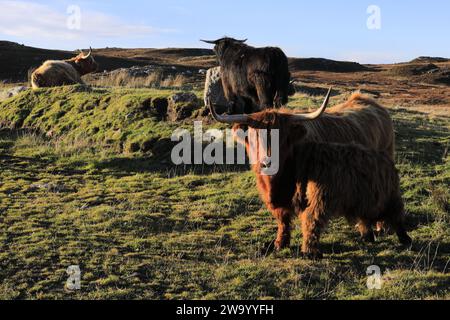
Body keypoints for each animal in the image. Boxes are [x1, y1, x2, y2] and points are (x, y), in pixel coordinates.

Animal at [207, 89, 412, 258]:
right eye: (255, 136)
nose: (267, 162)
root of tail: (368, 100)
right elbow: (283, 220)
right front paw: (280, 243)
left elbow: (311, 219)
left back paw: (380, 227)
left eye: (283, 138)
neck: (278, 181)